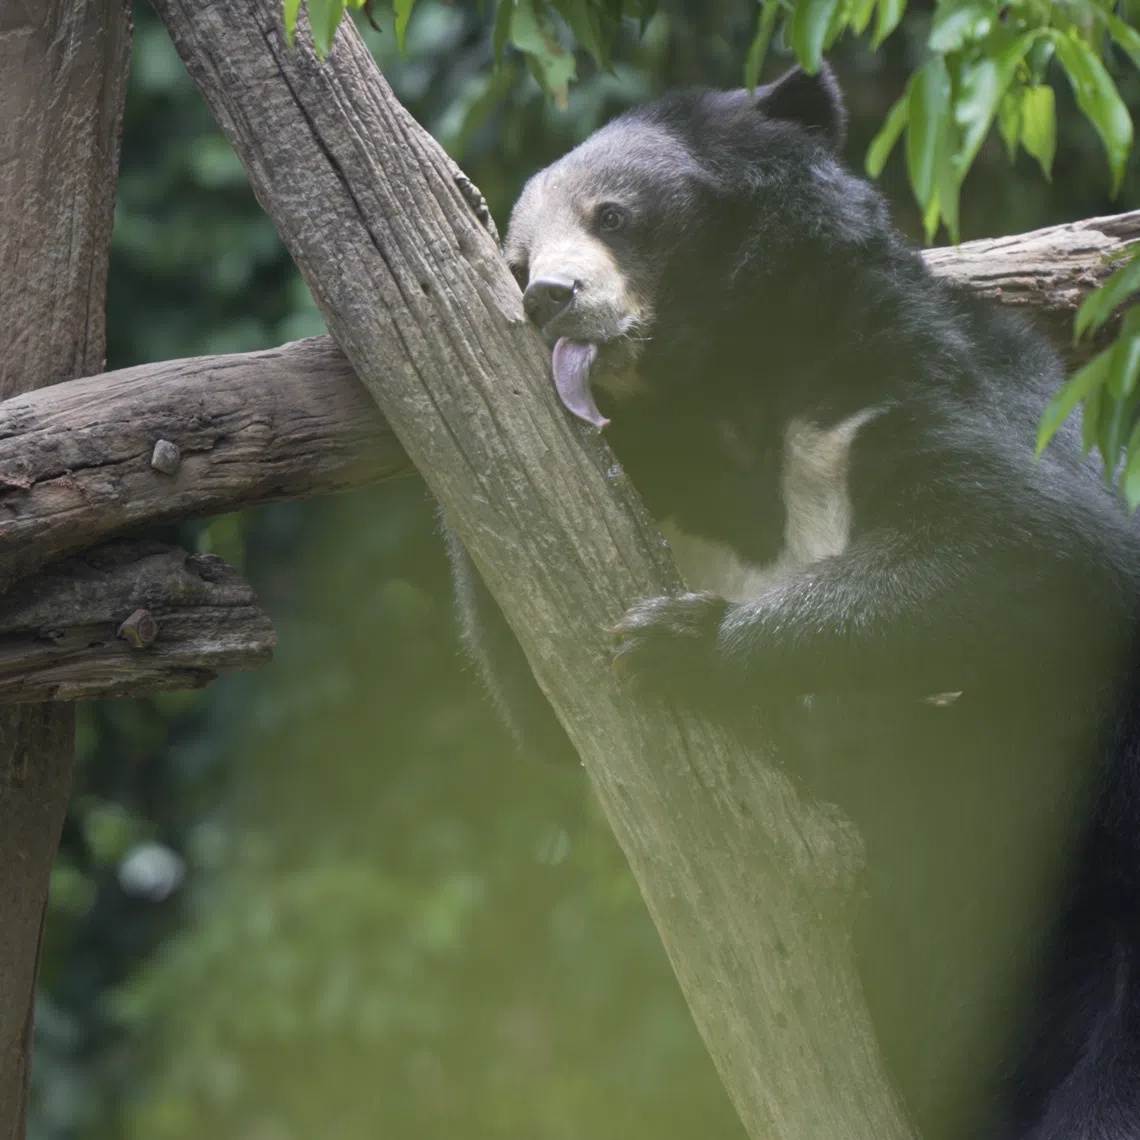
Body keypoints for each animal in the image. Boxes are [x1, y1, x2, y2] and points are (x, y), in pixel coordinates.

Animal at [443, 64, 1140, 1140]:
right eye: (516, 259)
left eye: (615, 215)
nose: (551, 297)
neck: (722, 385)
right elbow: (544, 695)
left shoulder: (907, 372)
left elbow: (1048, 542)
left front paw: (685, 644)